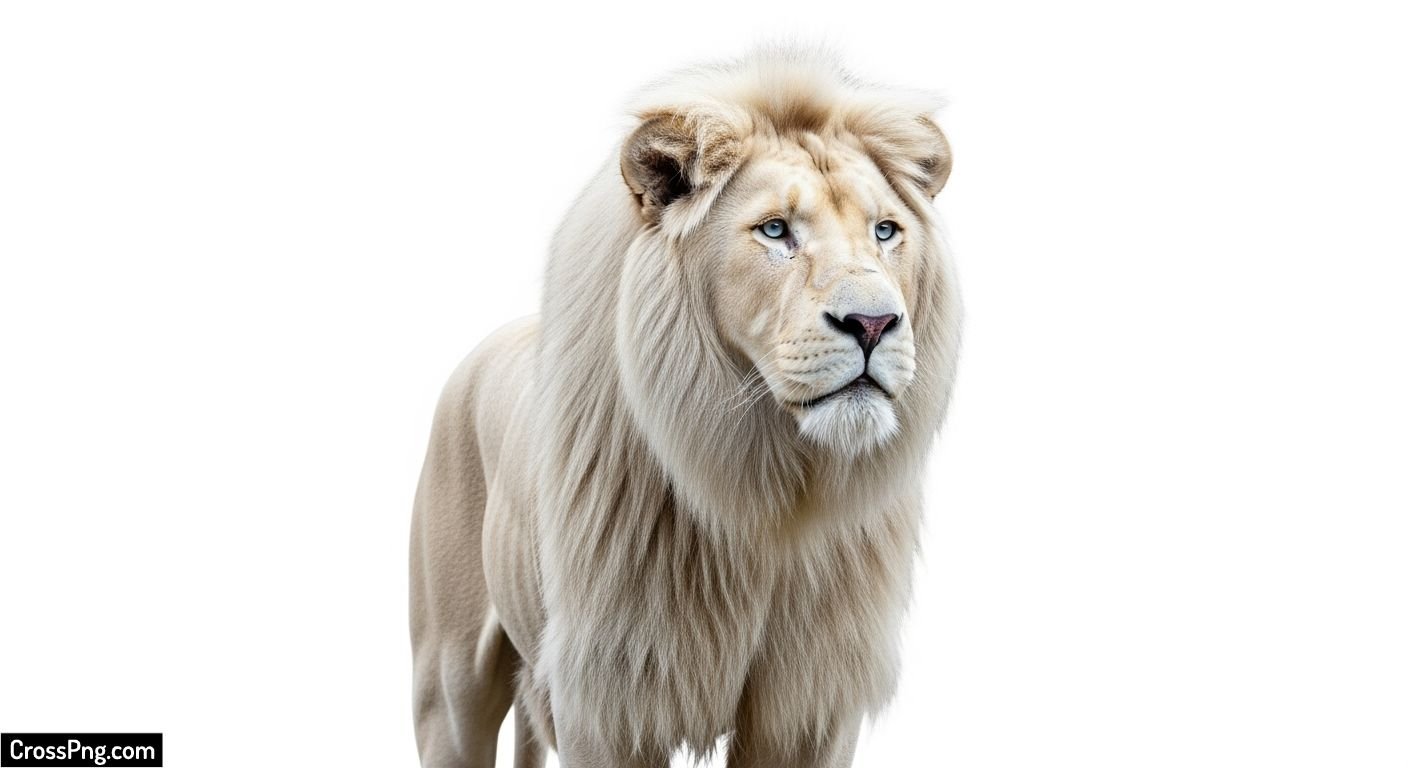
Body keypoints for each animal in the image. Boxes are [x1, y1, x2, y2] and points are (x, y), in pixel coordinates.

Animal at [410, 47, 962, 767]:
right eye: (776, 230)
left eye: (886, 231)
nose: (873, 324)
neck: (772, 488)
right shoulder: (610, 697)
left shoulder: (810, 703)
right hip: (450, 677)